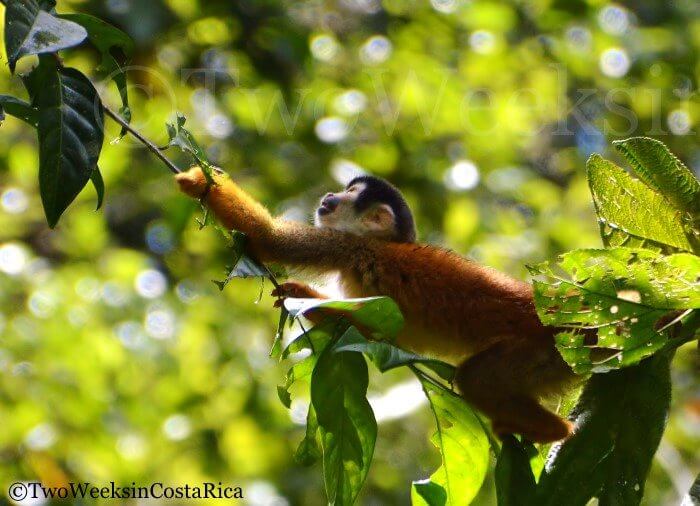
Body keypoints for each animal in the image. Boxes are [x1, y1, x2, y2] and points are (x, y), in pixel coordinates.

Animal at [176, 167, 577, 443]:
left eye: (348, 194)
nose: (329, 194)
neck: (380, 243)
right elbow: (370, 331)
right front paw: (300, 292)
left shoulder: (347, 246)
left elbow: (268, 239)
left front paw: (198, 180)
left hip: (544, 349)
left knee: (476, 379)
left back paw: (554, 430)